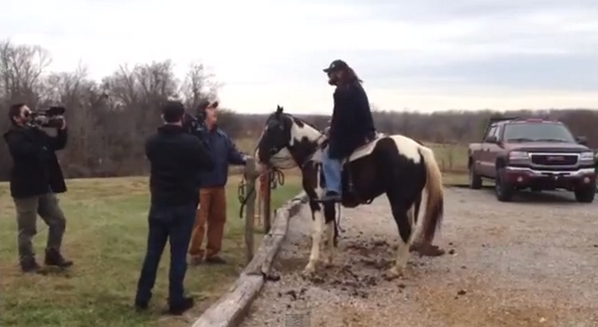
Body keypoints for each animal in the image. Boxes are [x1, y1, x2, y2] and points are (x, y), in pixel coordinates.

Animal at [256, 106, 446, 278]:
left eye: (272, 128)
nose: (258, 154)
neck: (313, 153)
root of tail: (418, 149)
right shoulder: (328, 202)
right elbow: (330, 229)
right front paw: (329, 260)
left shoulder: (315, 200)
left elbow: (317, 232)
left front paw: (311, 265)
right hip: (411, 202)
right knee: (411, 230)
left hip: (398, 203)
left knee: (405, 230)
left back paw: (396, 269)